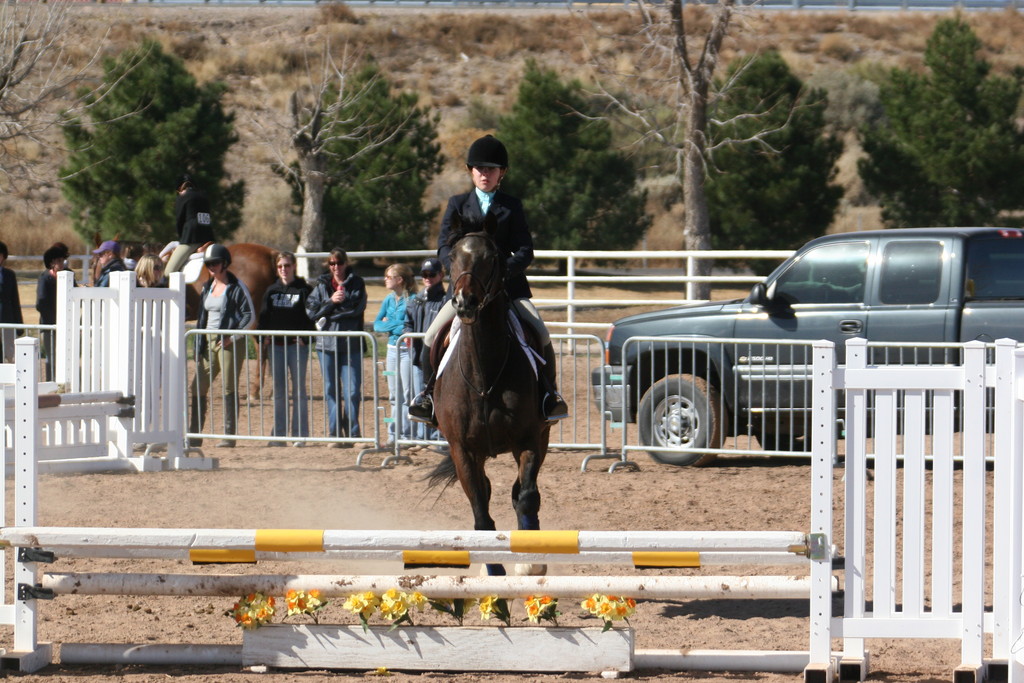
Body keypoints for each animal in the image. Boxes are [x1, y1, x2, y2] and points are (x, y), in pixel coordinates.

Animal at [425, 215, 548, 577]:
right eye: (453, 257)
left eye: (492, 258)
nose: (464, 302)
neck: (484, 372)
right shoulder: (462, 450)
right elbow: (481, 513)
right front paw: (493, 571)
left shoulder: (529, 440)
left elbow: (526, 497)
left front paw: (531, 563)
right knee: (488, 492)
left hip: (543, 437)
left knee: (520, 493)